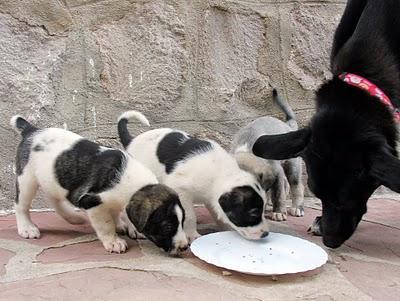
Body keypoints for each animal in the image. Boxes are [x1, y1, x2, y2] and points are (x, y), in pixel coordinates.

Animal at [10, 115, 189, 253]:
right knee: (21, 205)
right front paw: (113, 241)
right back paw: (27, 228)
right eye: (167, 227)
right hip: (26, 179)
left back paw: (73, 218)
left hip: (52, 179)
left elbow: (116, 213)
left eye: (182, 222)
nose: (184, 247)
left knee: (54, 199)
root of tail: (31, 130)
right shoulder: (93, 202)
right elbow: (105, 224)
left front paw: (121, 225)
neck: (138, 185)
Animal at [117, 110, 270, 241]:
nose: (266, 234)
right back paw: (134, 229)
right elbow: (190, 216)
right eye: (254, 213)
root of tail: (131, 141)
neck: (221, 173)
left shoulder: (211, 198)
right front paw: (192, 235)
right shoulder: (181, 191)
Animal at [230, 89, 304, 220]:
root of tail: (288, 126)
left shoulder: (276, 172)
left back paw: (297, 208)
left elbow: (278, 194)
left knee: (296, 186)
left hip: (293, 165)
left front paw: (279, 212)